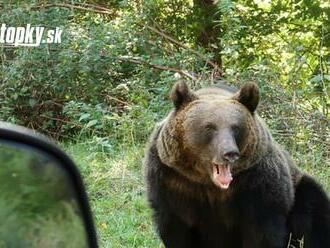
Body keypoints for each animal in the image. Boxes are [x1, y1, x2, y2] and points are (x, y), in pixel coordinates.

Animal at [145, 81, 330, 248]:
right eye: (209, 127)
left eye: (235, 127)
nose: (230, 153)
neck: (208, 183)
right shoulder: (173, 182)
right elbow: (176, 229)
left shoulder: (256, 183)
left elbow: (264, 232)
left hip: (299, 189)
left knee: (312, 212)